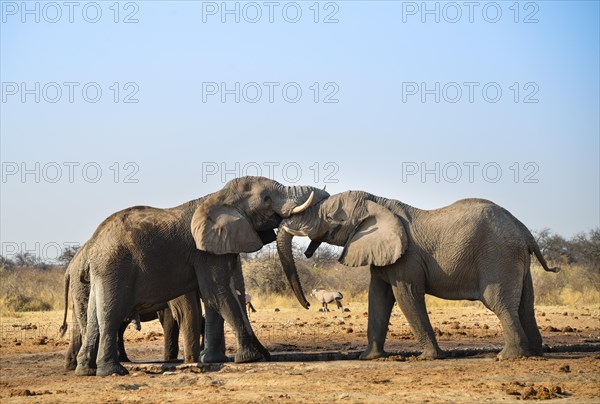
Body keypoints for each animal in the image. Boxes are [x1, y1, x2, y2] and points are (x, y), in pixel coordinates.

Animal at [72, 177, 330, 376]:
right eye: (266, 199)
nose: (308, 305)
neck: (219, 197)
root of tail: (93, 244)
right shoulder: (204, 252)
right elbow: (217, 293)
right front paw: (251, 358)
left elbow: (215, 297)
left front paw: (215, 360)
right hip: (114, 267)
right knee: (110, 314)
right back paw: (114, 372)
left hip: (102, 272)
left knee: (93, 316)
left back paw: (86, 371)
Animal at [278, 191, 560, 362]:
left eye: (330, 218)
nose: (307, 304)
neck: (376, 201)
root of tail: (524, 230)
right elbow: (378, 297)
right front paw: (369, 358)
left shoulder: (407, 259)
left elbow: (407, 296)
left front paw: (429, 357)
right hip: (516, 259)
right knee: (525, 305)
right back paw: (534, 353)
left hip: (499, 256)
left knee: (500, 303)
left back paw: (507, 356)